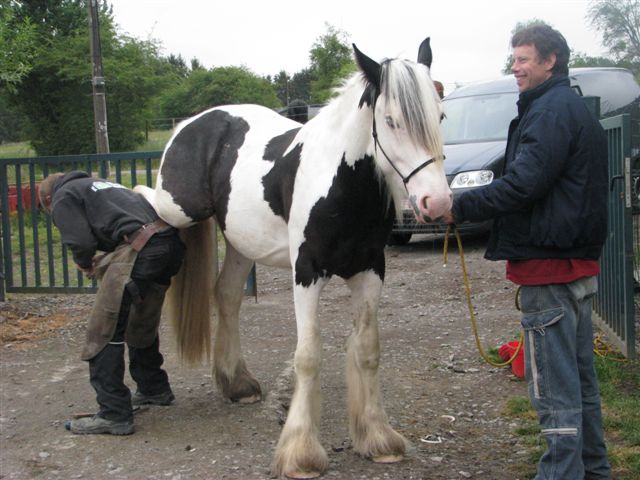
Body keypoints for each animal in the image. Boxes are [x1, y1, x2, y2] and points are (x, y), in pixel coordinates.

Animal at [138, 38, 452, 480]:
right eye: (391, 121)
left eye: (440, 115)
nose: (436, 202)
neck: (340, 183)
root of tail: (190, 123)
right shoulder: (307, 273)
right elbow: (307, 356)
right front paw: (300, 453)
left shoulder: (371, 271)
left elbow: (368, 350)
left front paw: (378, 438)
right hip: (177, 210)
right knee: (145, 208)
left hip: (240, 242)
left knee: (227, 296)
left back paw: (237, 383)